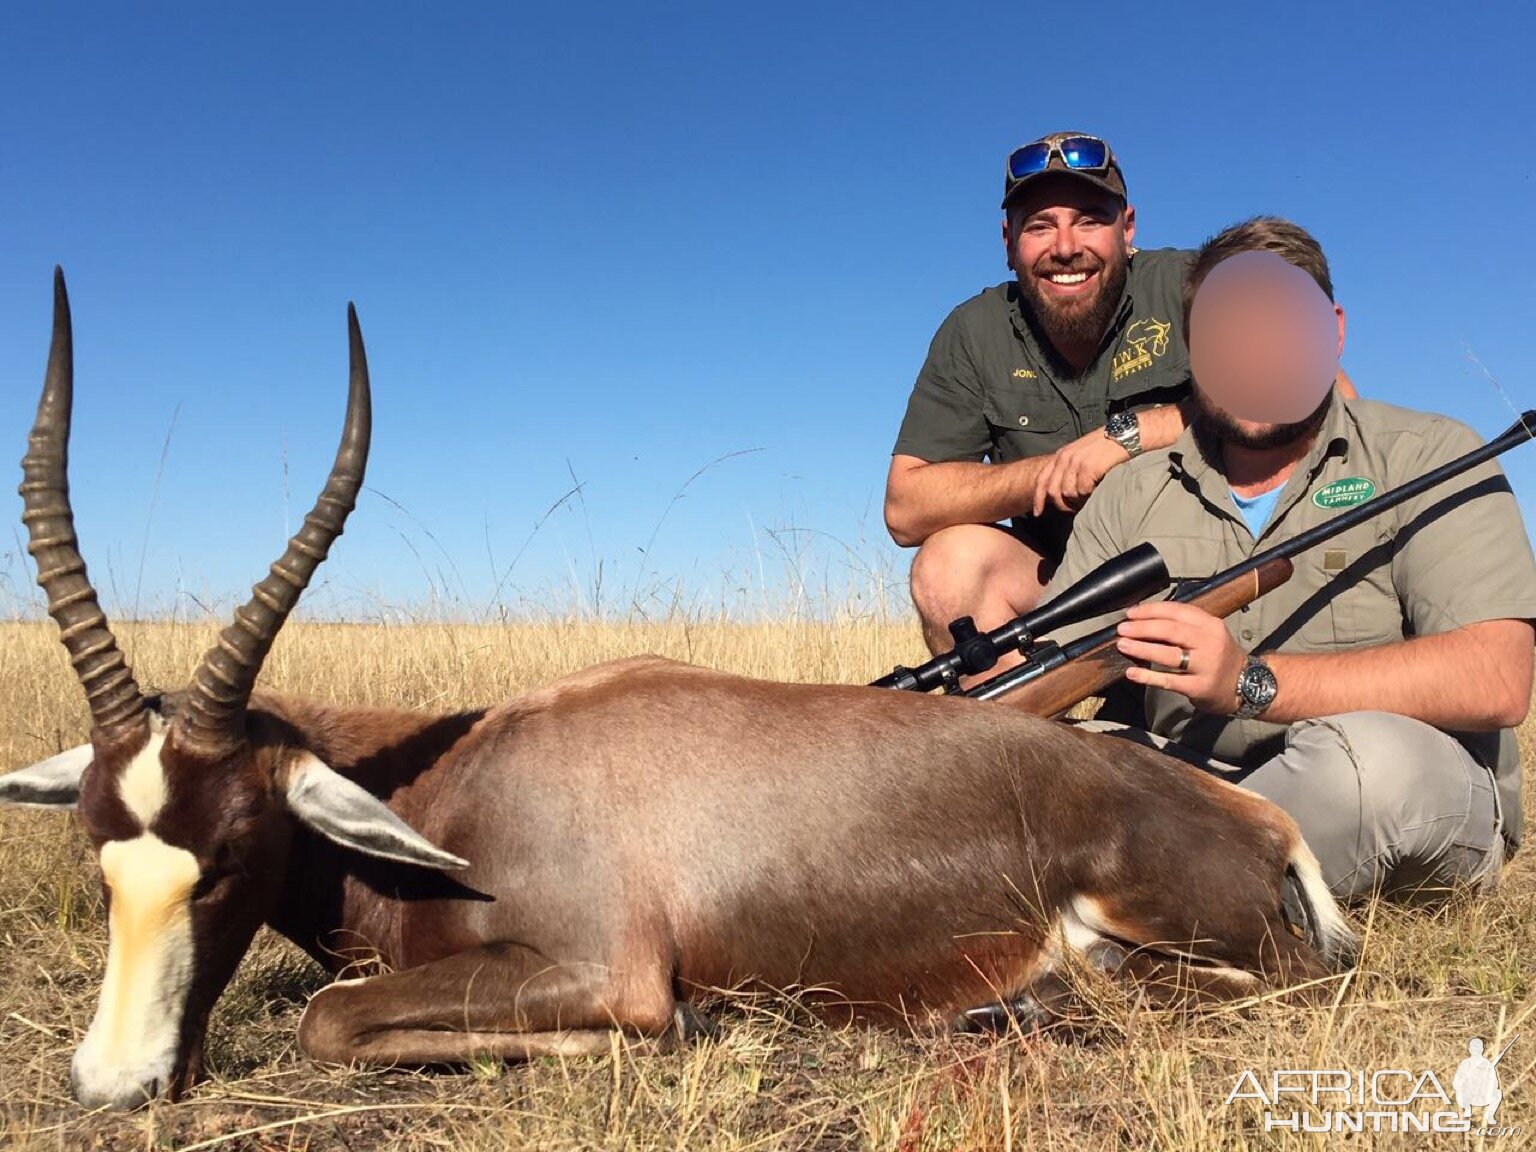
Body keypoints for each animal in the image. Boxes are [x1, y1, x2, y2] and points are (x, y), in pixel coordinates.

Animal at [3, 270, 1357, 1112]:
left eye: (230, 849)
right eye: (97, 846)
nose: (112, 1087)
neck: (461, 783)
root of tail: (1255, 820)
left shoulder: (603, 969)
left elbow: (329, 1020)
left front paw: (688, 1030)